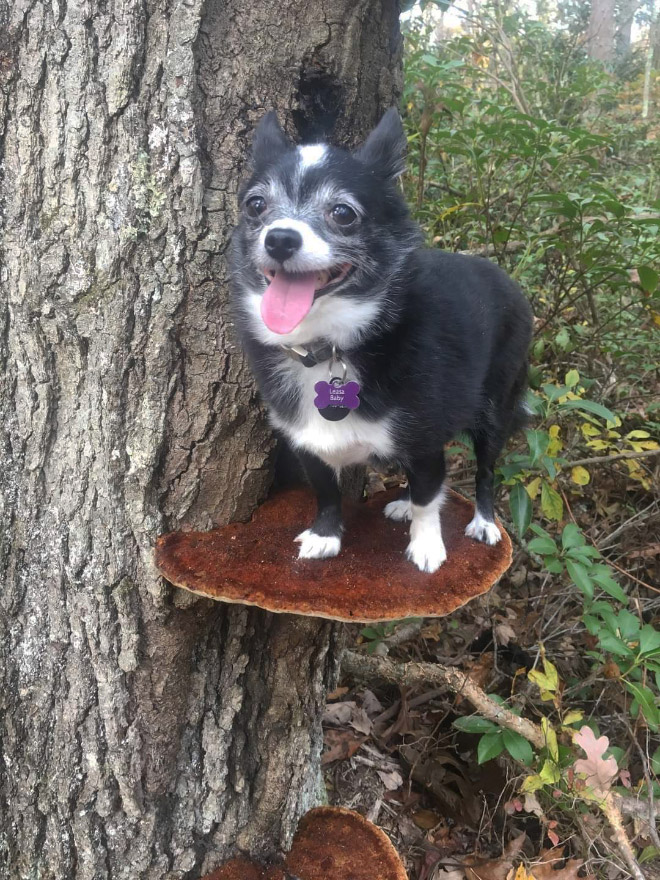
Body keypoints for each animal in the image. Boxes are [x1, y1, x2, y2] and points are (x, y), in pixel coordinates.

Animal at [229, 110, 532, 576]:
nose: (279, 238)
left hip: (496, 409)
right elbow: (327, 491)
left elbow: (429, 495)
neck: (329, 346)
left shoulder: (425, 438)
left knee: (485, 471)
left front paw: (426, 546)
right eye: (255, 206)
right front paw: (326, 535)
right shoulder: (308, 443)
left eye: (343, 213)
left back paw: (483, 521)